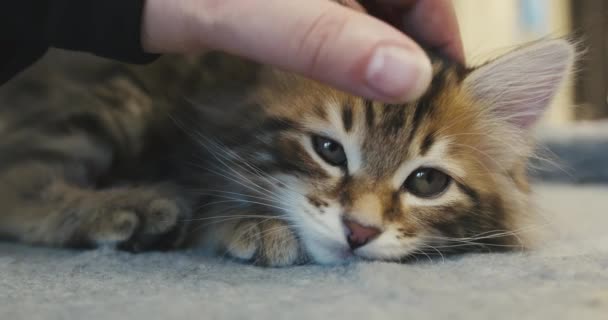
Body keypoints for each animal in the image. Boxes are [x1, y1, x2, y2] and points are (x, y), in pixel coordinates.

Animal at [0, 38, 572, 266]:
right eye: (328, 150)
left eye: (427, 182)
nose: (359, 232)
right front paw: (254, 224)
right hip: (107, 100)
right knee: (18, 183)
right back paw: (131, 208)